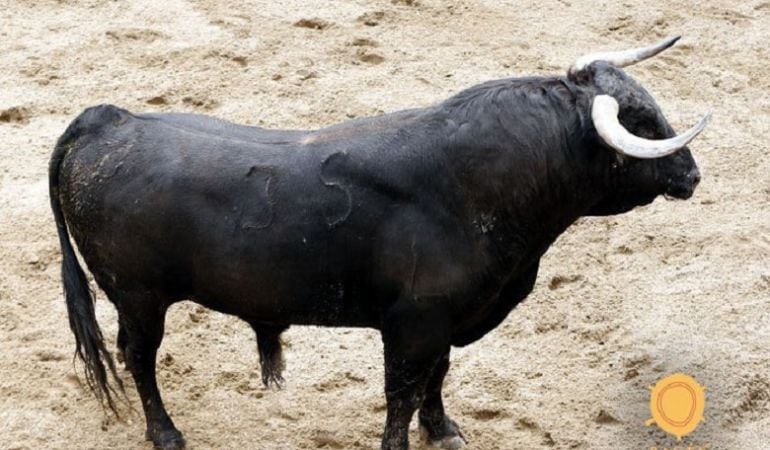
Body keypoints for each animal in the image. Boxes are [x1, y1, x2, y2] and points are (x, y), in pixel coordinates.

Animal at [51, 56, 704, 446]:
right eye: (642, 124)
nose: (692, 175)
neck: (478, 184)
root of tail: (106, 121)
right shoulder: (412, 325)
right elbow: (401, 394)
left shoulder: (444, 320)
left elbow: (437, 377)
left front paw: (443, 429)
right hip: (139, 297)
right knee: (138, 357)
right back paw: (166, 433)